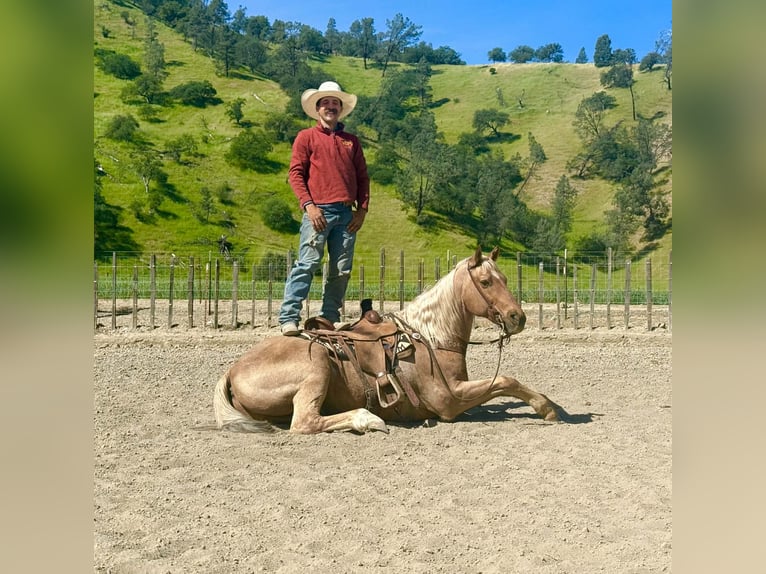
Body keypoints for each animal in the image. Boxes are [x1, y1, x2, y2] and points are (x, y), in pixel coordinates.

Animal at [212, 247, 561, 434]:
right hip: (318, 367)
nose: (518, 317)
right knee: (305, 422)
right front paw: (545, 407)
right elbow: (505, 380)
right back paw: (367, 419)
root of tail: (232, 370)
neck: (430, 339)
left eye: (505, 278)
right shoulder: (449, 401)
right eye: (486, 282)